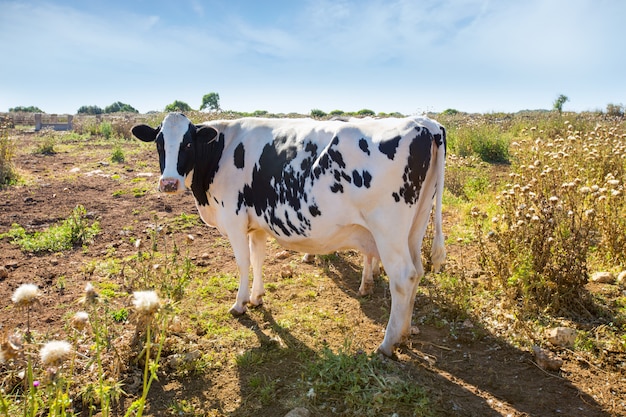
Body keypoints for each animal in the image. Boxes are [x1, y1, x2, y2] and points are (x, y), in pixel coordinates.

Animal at [132, 114, 444, 358]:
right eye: (159, 143)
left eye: (187, 143)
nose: (168, 183)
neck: (221, 150)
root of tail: (423, 124)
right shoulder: (256, 224)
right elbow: (258, 258)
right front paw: (257, 297)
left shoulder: (233, 218)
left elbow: (243, 263)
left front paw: (240, 304)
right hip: (414, 228)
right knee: (417, 272)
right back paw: (404, 332)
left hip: (388, 230)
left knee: (403, 278)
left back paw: (388, 343)